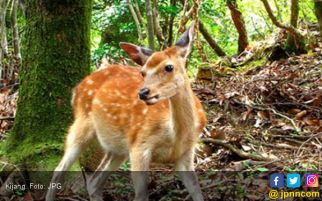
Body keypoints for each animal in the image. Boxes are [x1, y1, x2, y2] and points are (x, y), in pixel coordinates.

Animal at [45, 22, 206, 201]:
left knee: (93, 182)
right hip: (82, 124)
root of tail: (76, 89)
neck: (176, 135)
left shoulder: (186, 152)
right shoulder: (139, 144)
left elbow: (197, 191)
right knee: (59, 169)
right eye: (143, 72)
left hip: (117, 147)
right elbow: (141, 194)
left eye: (169, 67)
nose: (143, 92)